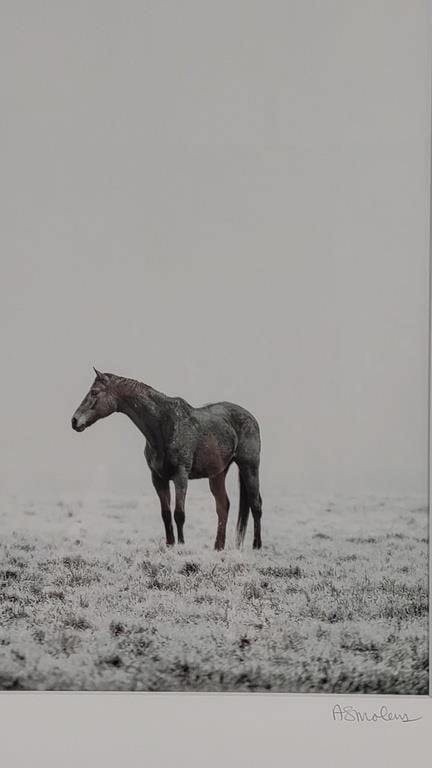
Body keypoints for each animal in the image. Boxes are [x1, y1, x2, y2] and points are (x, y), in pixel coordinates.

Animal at [71, 369, 262, 550]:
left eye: (94, 392)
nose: (74, 421)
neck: (164, 425)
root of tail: (250, 417)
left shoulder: (180, 476)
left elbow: (179, 514)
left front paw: (182, 545)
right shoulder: (158, 478)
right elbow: (166, 514)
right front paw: (170, 545)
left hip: (249, 468)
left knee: (256, 505)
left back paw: (257, 546)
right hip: (218, 474)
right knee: (223, 506)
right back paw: (218, 547)